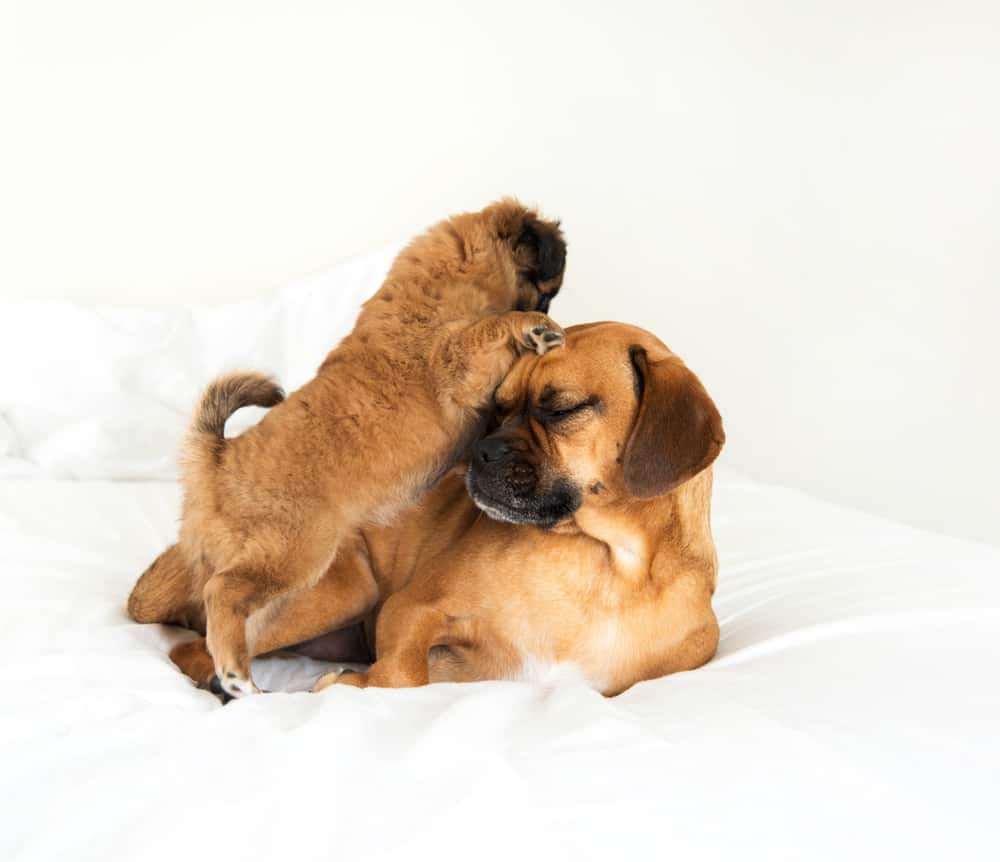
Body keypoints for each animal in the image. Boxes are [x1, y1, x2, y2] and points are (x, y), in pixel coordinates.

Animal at [131, 202, 572, 704]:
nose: (550, 312)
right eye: (546, 295)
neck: (449, 273)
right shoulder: (455, 358)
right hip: (292, 556)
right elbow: (484, 331)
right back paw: (237, 678)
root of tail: (214, 461)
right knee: (223, 593)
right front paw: (534, 329)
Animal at [133, 322, 728, 696]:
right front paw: (349, 683)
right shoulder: (410, 609)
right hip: (342, 586)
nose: (481, 451)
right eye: (498, 409)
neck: (605, 561)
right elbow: (401, 676)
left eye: (562, 409)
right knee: (199, 645)